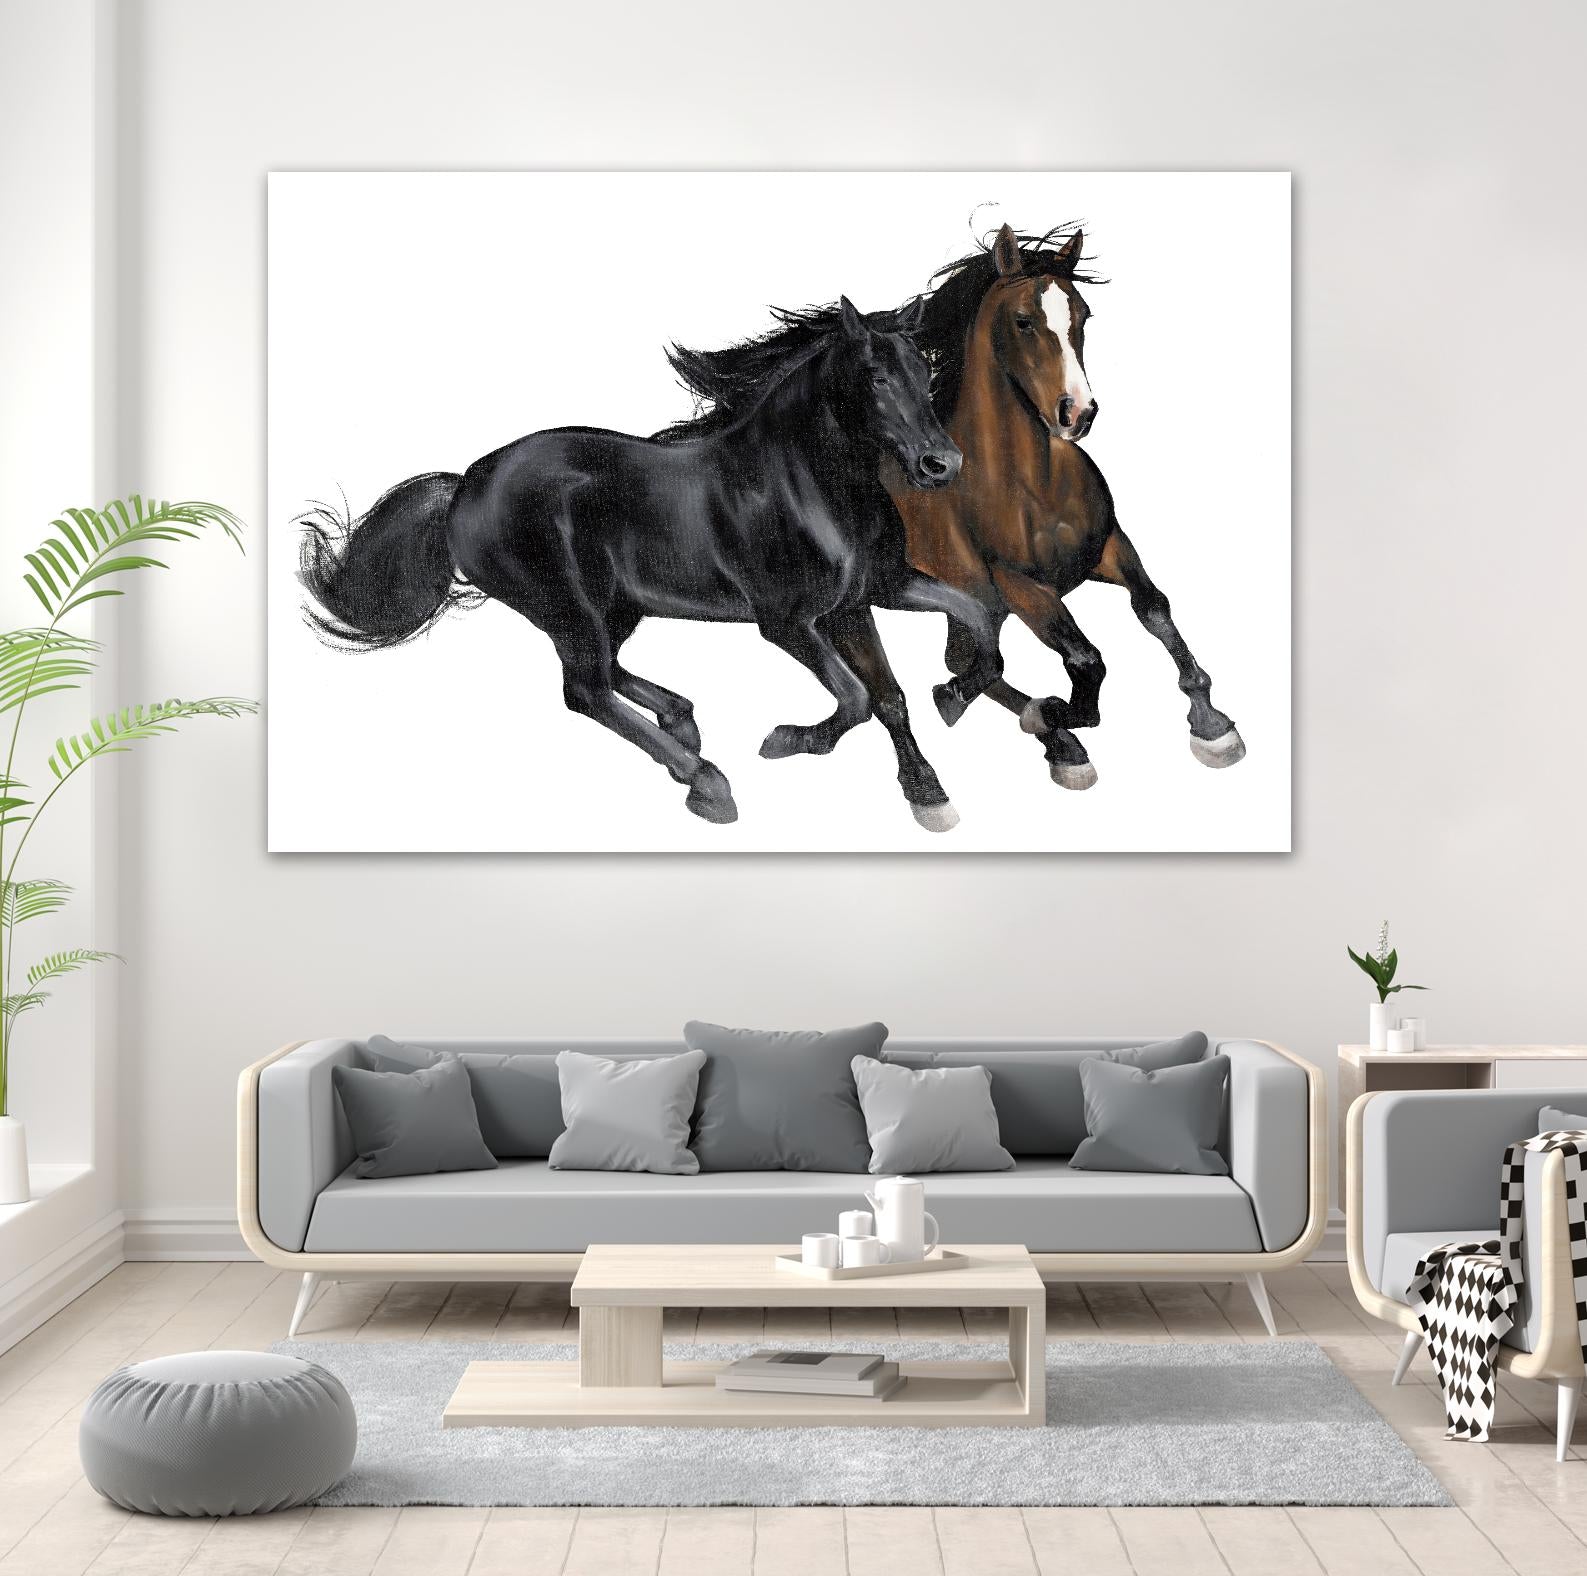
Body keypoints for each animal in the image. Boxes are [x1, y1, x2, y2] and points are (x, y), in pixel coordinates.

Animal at [297, 296, 1007, 830]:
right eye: (876, 376)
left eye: (923, 372)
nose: (942, 464)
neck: (806, 484)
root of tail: (467, 482)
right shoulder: (788, 622)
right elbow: (858, 697)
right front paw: (788, 740)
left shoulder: (868, 597)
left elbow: (947, 643)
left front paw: (938, 757)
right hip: (568, 607)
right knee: (585, 689)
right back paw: (707, 782)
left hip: (613, 608)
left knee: (604, 673)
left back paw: (684, 724)